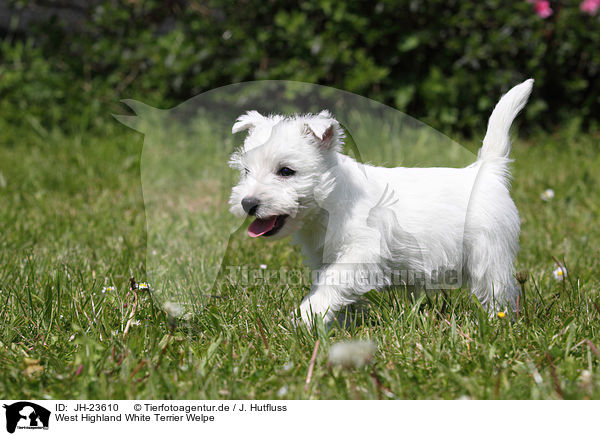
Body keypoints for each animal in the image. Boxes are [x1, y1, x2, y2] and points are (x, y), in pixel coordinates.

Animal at [230, 80, 536, 326]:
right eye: (246, 171)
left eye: (286, 171)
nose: (248, 203)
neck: (332, 204)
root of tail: (486, 171)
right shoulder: (324, 256)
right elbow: (334, 290)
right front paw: (335, 324)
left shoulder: (361, 252)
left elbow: (332, 282)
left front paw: (305, 316)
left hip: (489, 254)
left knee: (499, 292)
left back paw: (497, 324)